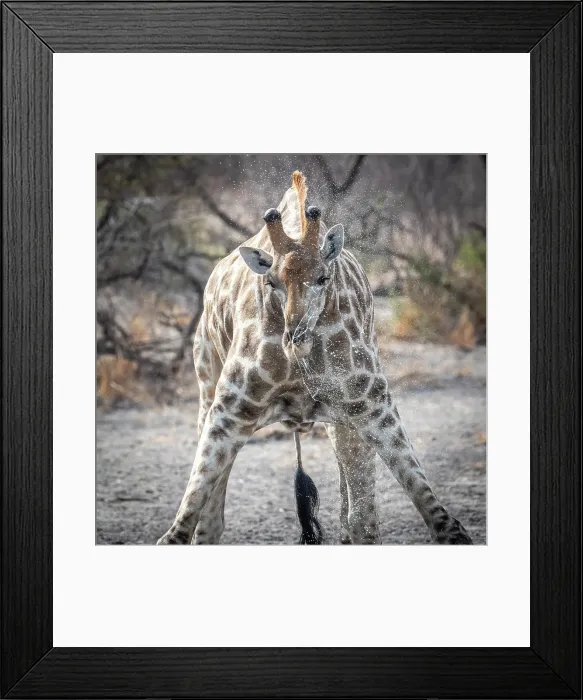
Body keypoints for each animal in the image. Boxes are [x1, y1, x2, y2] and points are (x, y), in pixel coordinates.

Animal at [157, 172, 472, 545]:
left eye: (323, 277)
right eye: (272, 282)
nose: (296, 339)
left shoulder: (373, 407)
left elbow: (435, 523)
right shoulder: (229, 413)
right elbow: (182, 529)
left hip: (345, 422)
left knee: (356, 515)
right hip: (207, 389)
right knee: (211, 519)